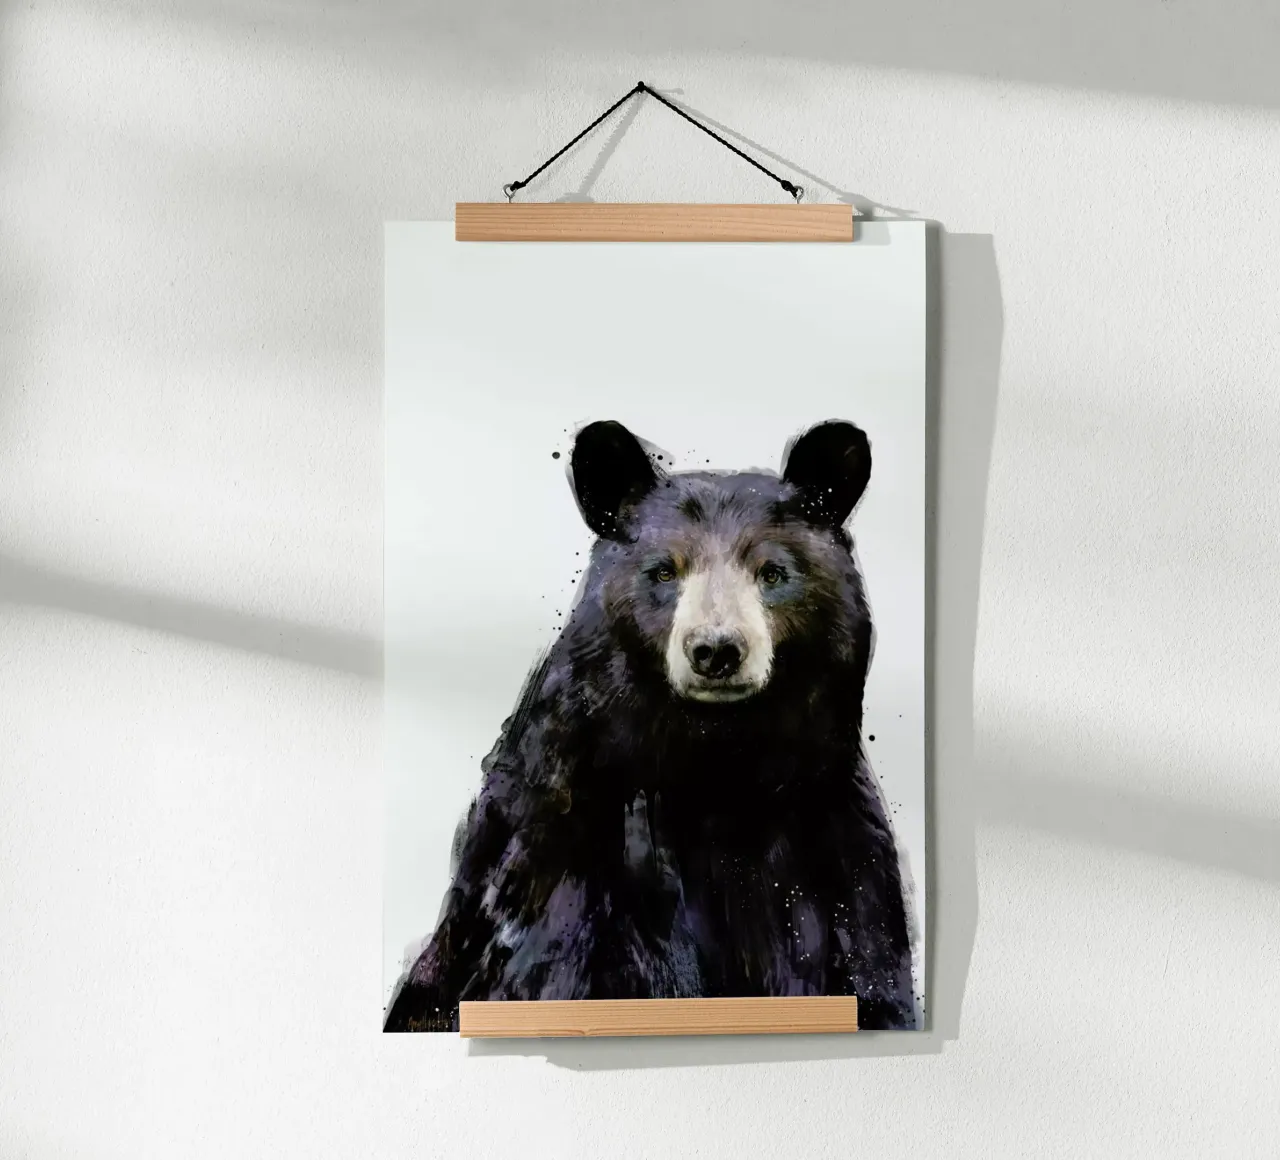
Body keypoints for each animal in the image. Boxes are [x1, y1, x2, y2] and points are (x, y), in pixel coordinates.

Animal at [383, 418, 918, 1032]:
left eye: (773, 573)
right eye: (664, 570)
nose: (716, 650)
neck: (716, 764)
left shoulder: (836, 843)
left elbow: (870, 962)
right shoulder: (568, 850)